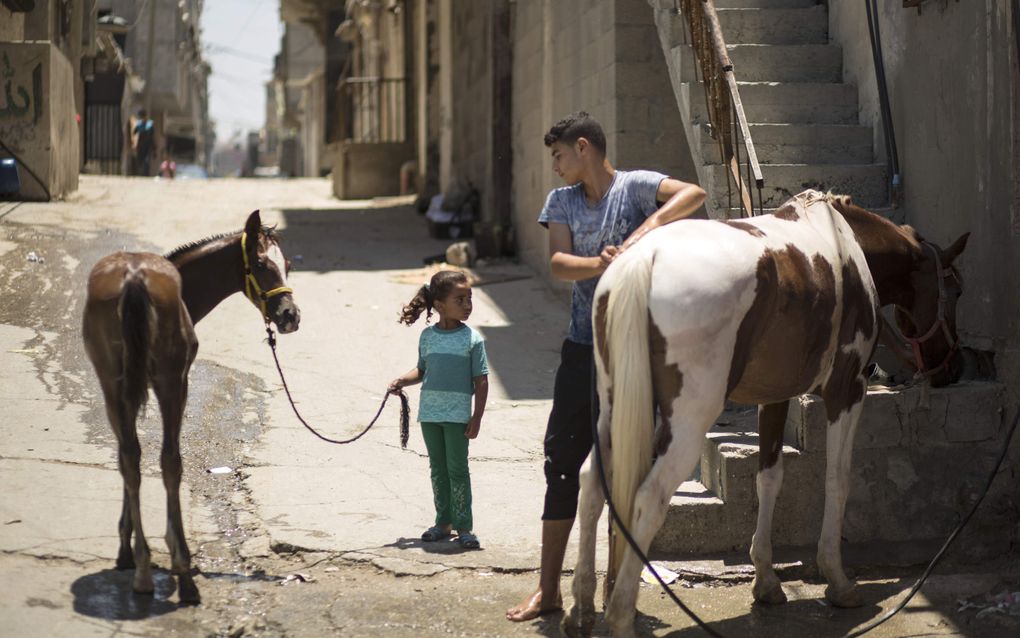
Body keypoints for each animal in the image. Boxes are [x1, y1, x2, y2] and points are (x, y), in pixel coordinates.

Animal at [81, 211, 297, 604]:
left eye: (287, 265)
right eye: (261, 264)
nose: (290, 316)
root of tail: (134, 278)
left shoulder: (119, 387)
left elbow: (128, 456)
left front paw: (125, 547)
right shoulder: (176, 379)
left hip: (114, 383)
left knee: (132, 457)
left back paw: (144, 568)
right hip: (170, 383)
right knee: (169, 462)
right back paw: (180, 570)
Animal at [567, 189, 971, 636]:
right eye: (956, 290)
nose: (953, 369)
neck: (848, 244)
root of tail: (645, 258)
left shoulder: (775, 396)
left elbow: (769, 479)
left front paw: (765, 580)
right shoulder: (847, 390)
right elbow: (838, 479)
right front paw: (837, 579)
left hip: (613, 407)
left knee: (590, 485)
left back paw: (582, 608)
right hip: (688, 423)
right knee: (649, 498)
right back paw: (620, 615)